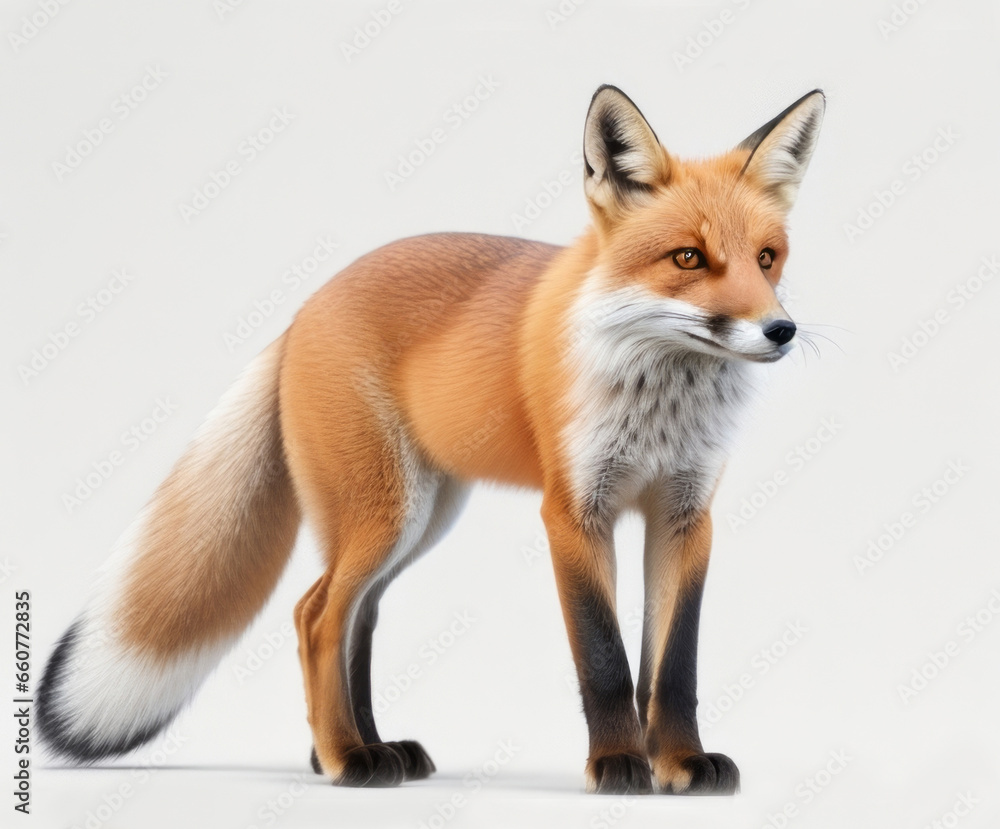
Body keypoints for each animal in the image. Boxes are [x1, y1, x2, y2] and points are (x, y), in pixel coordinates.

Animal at [37, 84, 825, 795]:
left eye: (767, 258)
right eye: (688, 259)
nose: (780, 330)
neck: (659, 401)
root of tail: (305, 308)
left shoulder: (685, 513)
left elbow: (675, 664)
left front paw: (681, 763)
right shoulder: (574, 512)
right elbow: (604, 657)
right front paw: (619, 765)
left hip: (418, 521)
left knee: (357, 619)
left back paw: (362, 748)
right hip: (386, 513)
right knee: (315, 614)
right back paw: (346, 760)